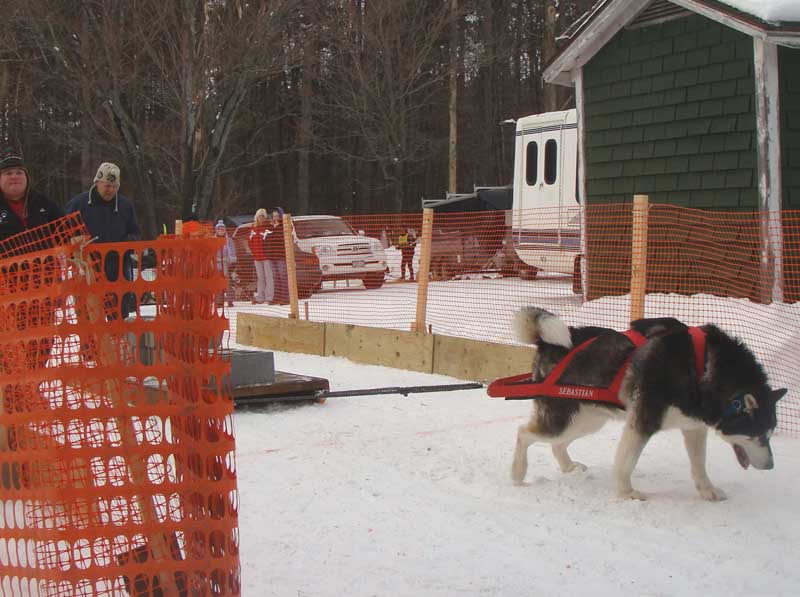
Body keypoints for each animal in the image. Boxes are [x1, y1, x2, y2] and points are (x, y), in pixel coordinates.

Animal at [512, 308, 788, 498]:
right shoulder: (644, 421)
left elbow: (699, 464)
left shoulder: (693, 427)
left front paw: (707, 491)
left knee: (557, 444)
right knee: (524, 433)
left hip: (587, 420)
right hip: (564, 419)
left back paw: (568, 466)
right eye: (757, 435)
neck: (704, 367)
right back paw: (518, 473)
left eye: (770, 435)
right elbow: (626, 463)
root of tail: (546, 342)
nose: (771, 466)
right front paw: (626, 493)